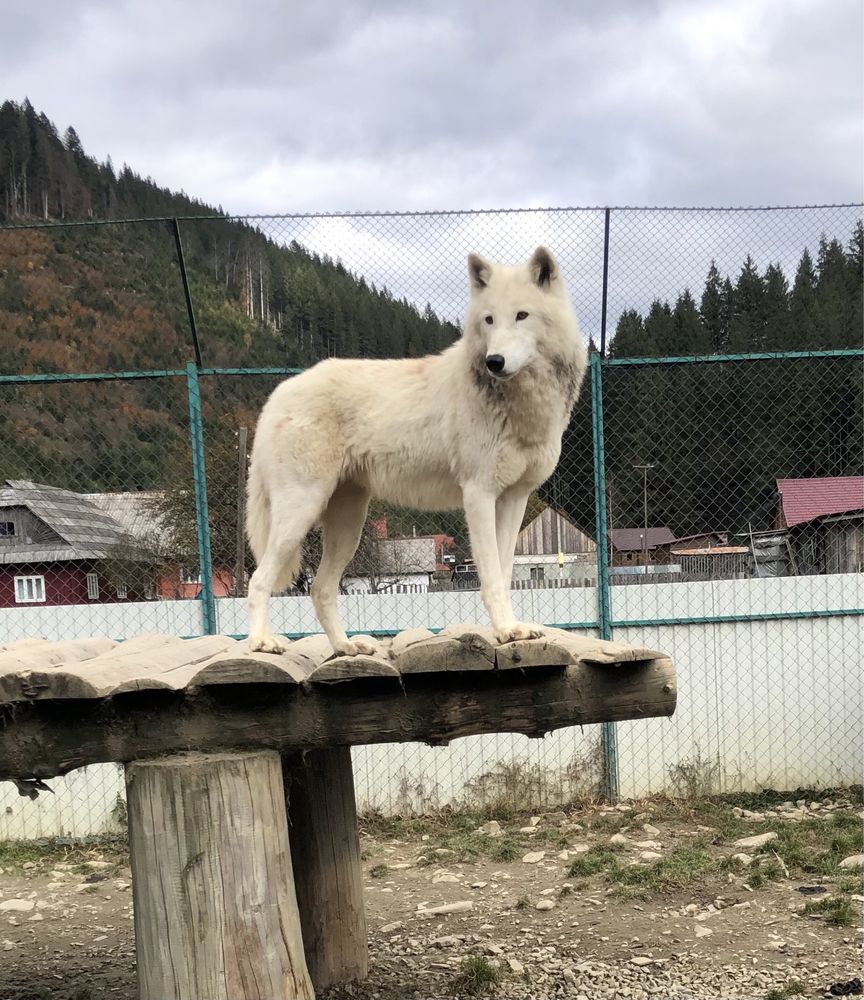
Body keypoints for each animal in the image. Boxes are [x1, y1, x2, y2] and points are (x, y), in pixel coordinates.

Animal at [246, 247, 592, 656]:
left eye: (522, 315)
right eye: (489, 320)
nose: (494, 362)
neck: (521, 404)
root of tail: (276, 396)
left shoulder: (514, 499)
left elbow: (505, 572)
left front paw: (510, 628)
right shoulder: (478, 494)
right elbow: (491, 576)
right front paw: (506, 632)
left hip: (348, 525)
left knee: (320, 589)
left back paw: (347, 648)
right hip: (299, 514)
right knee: (258, 580)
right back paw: (261, 643)